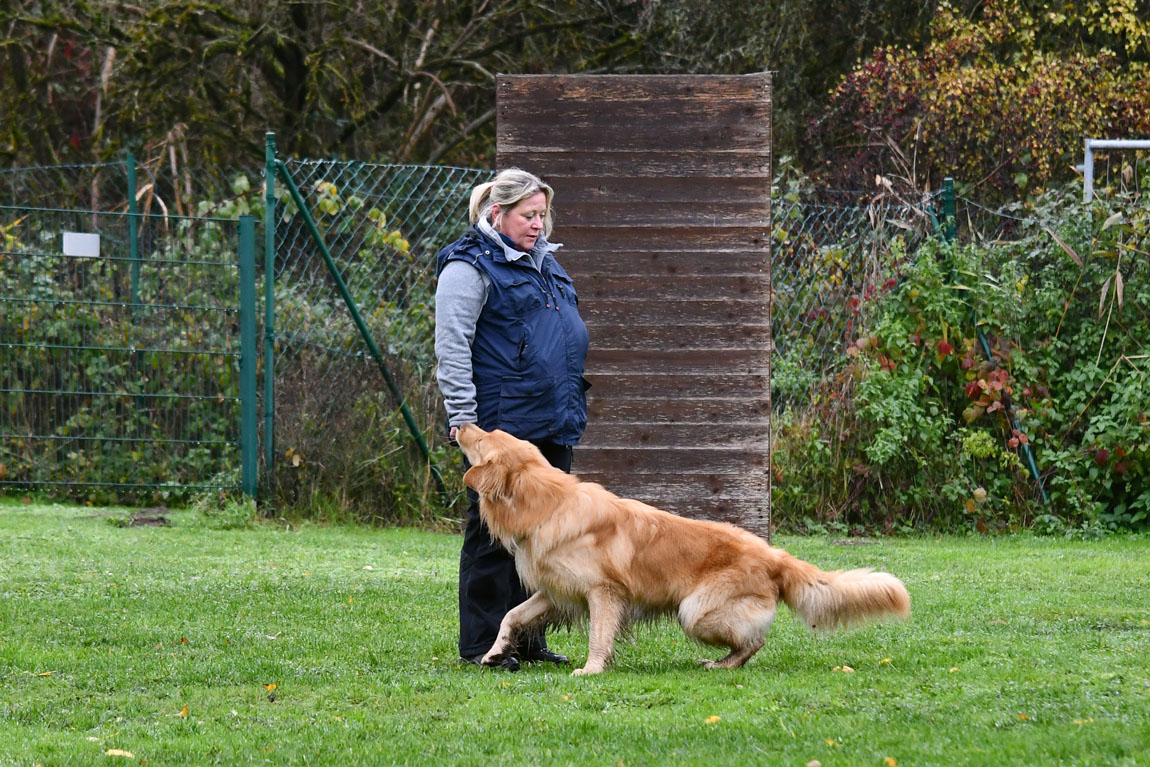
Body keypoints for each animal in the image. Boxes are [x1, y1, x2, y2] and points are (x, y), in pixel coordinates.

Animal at [453, 423, 910, 676]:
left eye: (485, 438)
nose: (462, 423)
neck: (546, 504)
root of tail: (775, 556)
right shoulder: (556, 591)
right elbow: (511, 616)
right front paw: (494, 653)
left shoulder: (604, 592)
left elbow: (599, 637)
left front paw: (592, 670)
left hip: (694, 612)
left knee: (755, 641)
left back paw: (721, 664)